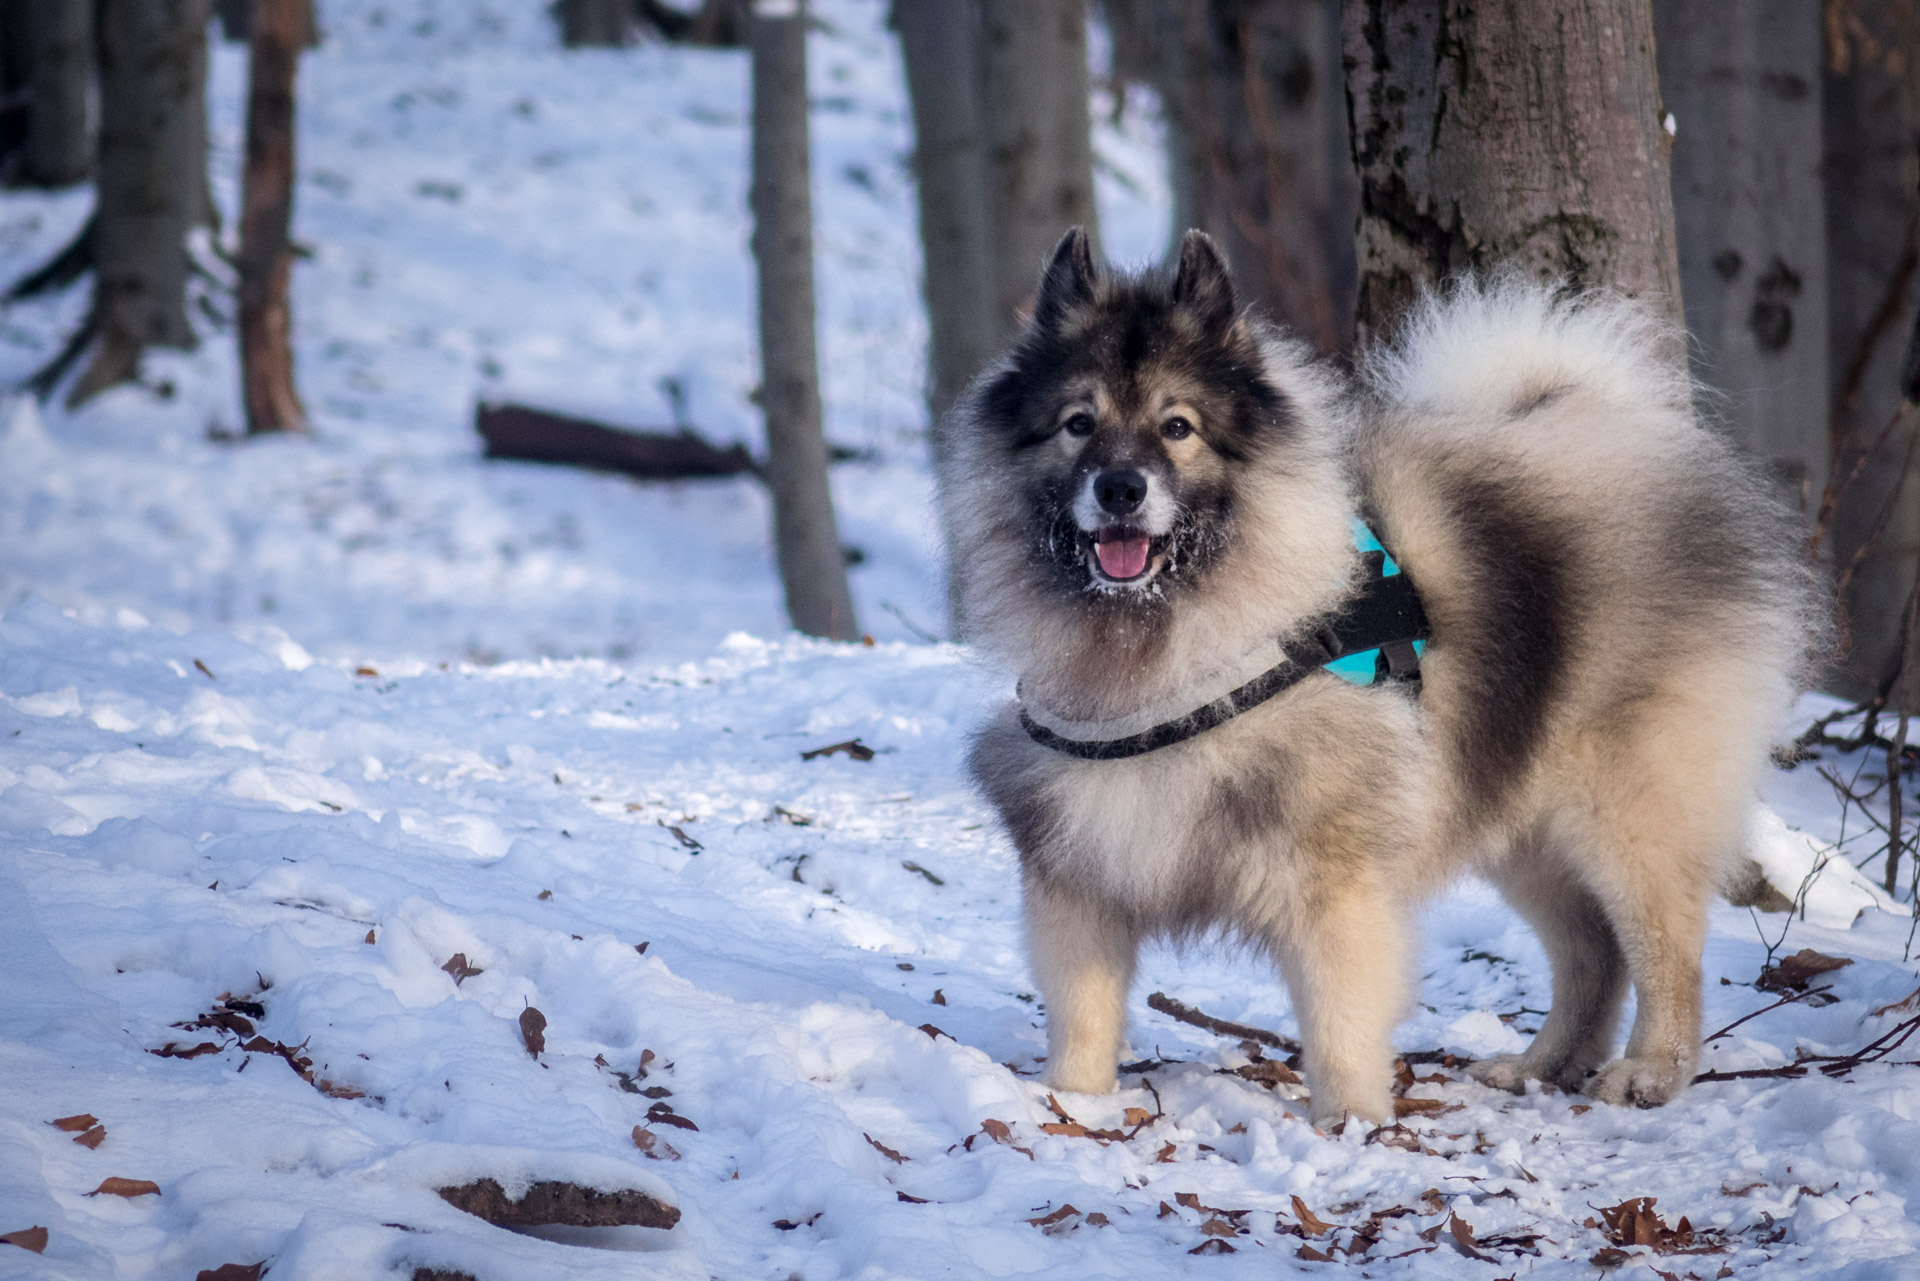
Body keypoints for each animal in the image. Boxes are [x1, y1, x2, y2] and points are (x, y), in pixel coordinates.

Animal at [952, 227, 1820, 1121]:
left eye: (1178, 426)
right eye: (1077, 424)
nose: (1120, 487)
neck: (1167, 647)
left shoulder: (1331, 881)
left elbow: (1339, 1018)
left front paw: (1352, 1123)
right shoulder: (1078, 870)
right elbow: (1082, 1014)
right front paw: (1072, 1107)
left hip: (1624, 809)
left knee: (1665, 944)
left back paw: (1650, 1070)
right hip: (1518, 812)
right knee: (1592, 952)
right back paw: (1544, 1064)